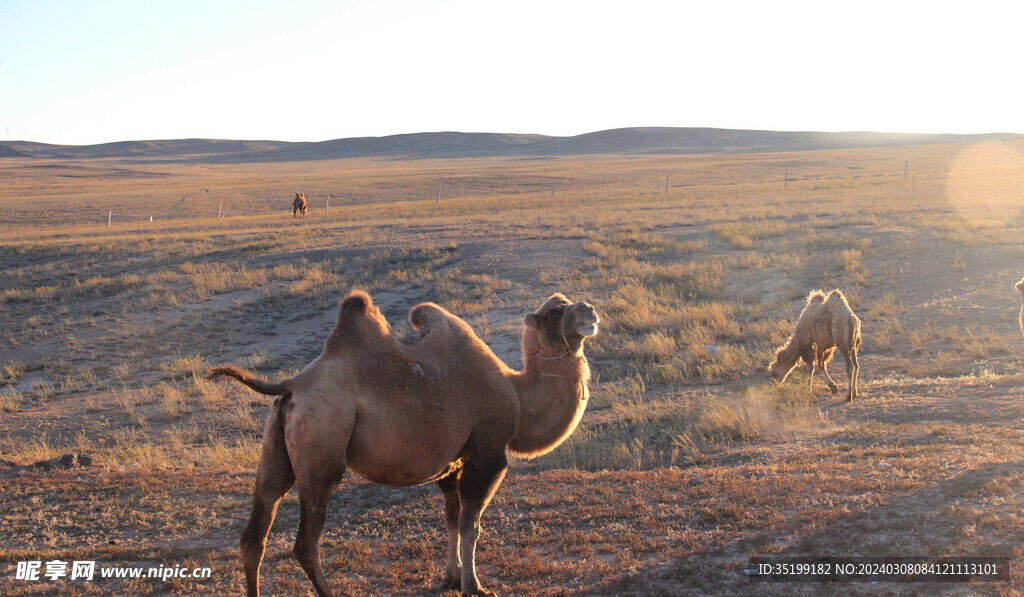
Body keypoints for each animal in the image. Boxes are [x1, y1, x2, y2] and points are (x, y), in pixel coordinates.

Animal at [204, 290, 598, 597]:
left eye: (566, 302)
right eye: (554, 313)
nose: (590, 310)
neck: (518, 397)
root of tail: (294, 384)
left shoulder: (452, 462)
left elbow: (451, 517)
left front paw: (451, 577)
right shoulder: (486, 454)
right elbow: (471, 524)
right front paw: (475, 586)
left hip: (277, 444)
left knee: (256, 531)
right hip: (322, 445)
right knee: (305, 543)